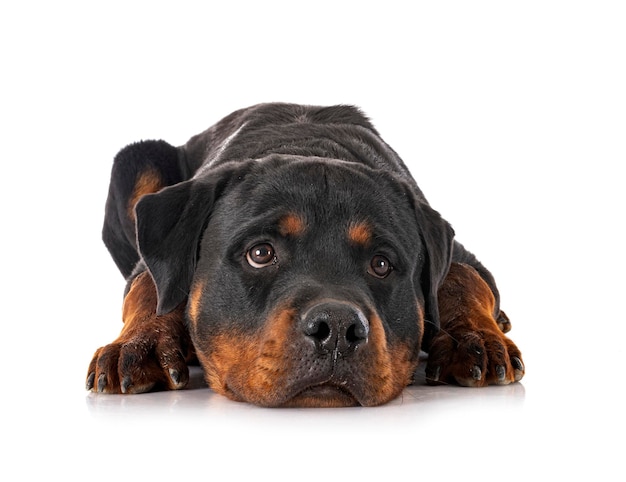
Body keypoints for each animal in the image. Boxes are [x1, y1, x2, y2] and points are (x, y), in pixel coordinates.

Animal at [84, 102, 520, 406]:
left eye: (381, 264)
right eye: (260, 253)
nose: (338, 328)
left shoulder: (458, 250)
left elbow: (462, 277)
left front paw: (477, 337)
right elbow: (150, 287)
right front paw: (141, 343)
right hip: (137, 161)